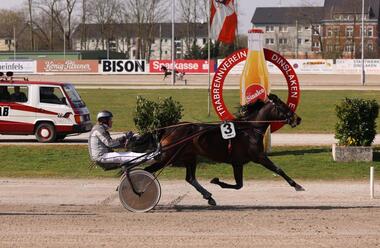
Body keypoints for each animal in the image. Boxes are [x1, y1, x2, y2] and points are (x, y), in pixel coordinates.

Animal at [145, 94, 302, 206]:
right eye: (284, 106)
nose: (298, 119)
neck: (250, 129)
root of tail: (168, 129)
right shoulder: (259, 157)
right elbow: (278, 169)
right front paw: (297, 185)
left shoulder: (237, 163)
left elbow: (239, 185)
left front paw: (216, 181)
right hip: (168, 156)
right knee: (147, 170)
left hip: (189, 156)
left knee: (190, 178)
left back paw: (208, 196)